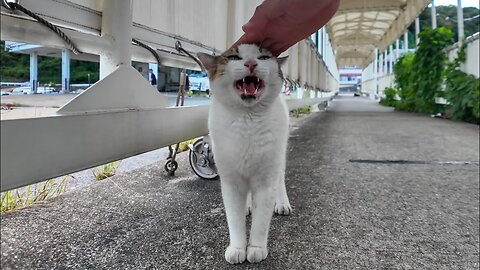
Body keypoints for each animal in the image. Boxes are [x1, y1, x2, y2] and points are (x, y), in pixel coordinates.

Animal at [197, 44, 290, 264]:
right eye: (234, 58)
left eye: (263, 57)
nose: (251, 63)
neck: (247, 120)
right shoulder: (231, 182)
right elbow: (234, 218)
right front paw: (238, 248)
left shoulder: (266, 181)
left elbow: (261, 220)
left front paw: (256, 248)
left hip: (278, 158)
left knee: (280, 179)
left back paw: (282, 203)